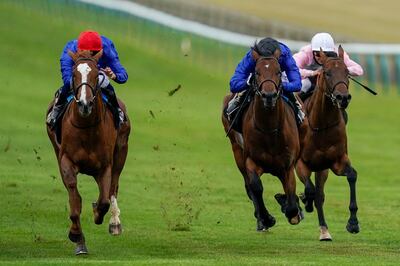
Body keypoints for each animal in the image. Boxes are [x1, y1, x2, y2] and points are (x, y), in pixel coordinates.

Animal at [46, 49, 131, 254]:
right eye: (74, 75)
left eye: (95, 75)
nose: (85, 104)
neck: (86, 128)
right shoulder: (66, 161)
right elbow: (75, 200)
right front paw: (77, 237)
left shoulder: (105, 166)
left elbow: (104, 200)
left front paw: (98, 214)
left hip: (121, 152)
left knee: (113, 187)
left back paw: (114, 222)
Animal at [222, 49, 304, 231]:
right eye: (257, 72)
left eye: (278, 72)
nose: (269, 95)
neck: (269, 130)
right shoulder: (251, 161)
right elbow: (256, 187)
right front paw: (266, 219)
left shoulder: (287, 166)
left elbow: (291, 196)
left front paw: (291, 209)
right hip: (236, 150)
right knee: (248, 186)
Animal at [296, 45, 360, 241]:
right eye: (328, 73)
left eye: (347, 72)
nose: (342, 98)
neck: (321, 126)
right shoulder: (300, 163)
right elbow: (310, 190)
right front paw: (305, 200)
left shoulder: (336, 161)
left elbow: (352, 175)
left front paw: (353, 223)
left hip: (322, 169)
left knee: (320, 194)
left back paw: (324, 230)